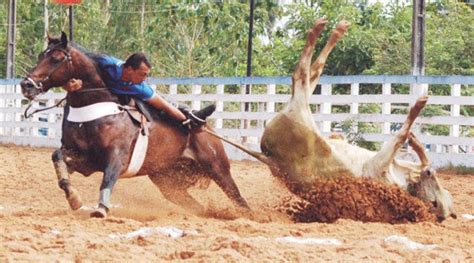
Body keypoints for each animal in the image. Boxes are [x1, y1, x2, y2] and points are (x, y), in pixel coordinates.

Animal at [21, 32, 252, 219]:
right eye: (40, 56)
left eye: (56, 58)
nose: (26, 85)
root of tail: (206, 128)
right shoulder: (85, 159)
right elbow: (58, 159)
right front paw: (74, 198)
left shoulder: (116, 158)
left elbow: (108, 179)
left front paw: (101, 208)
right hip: (167, 182)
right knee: (197, 207)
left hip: (218, 168)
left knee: (239, 199)